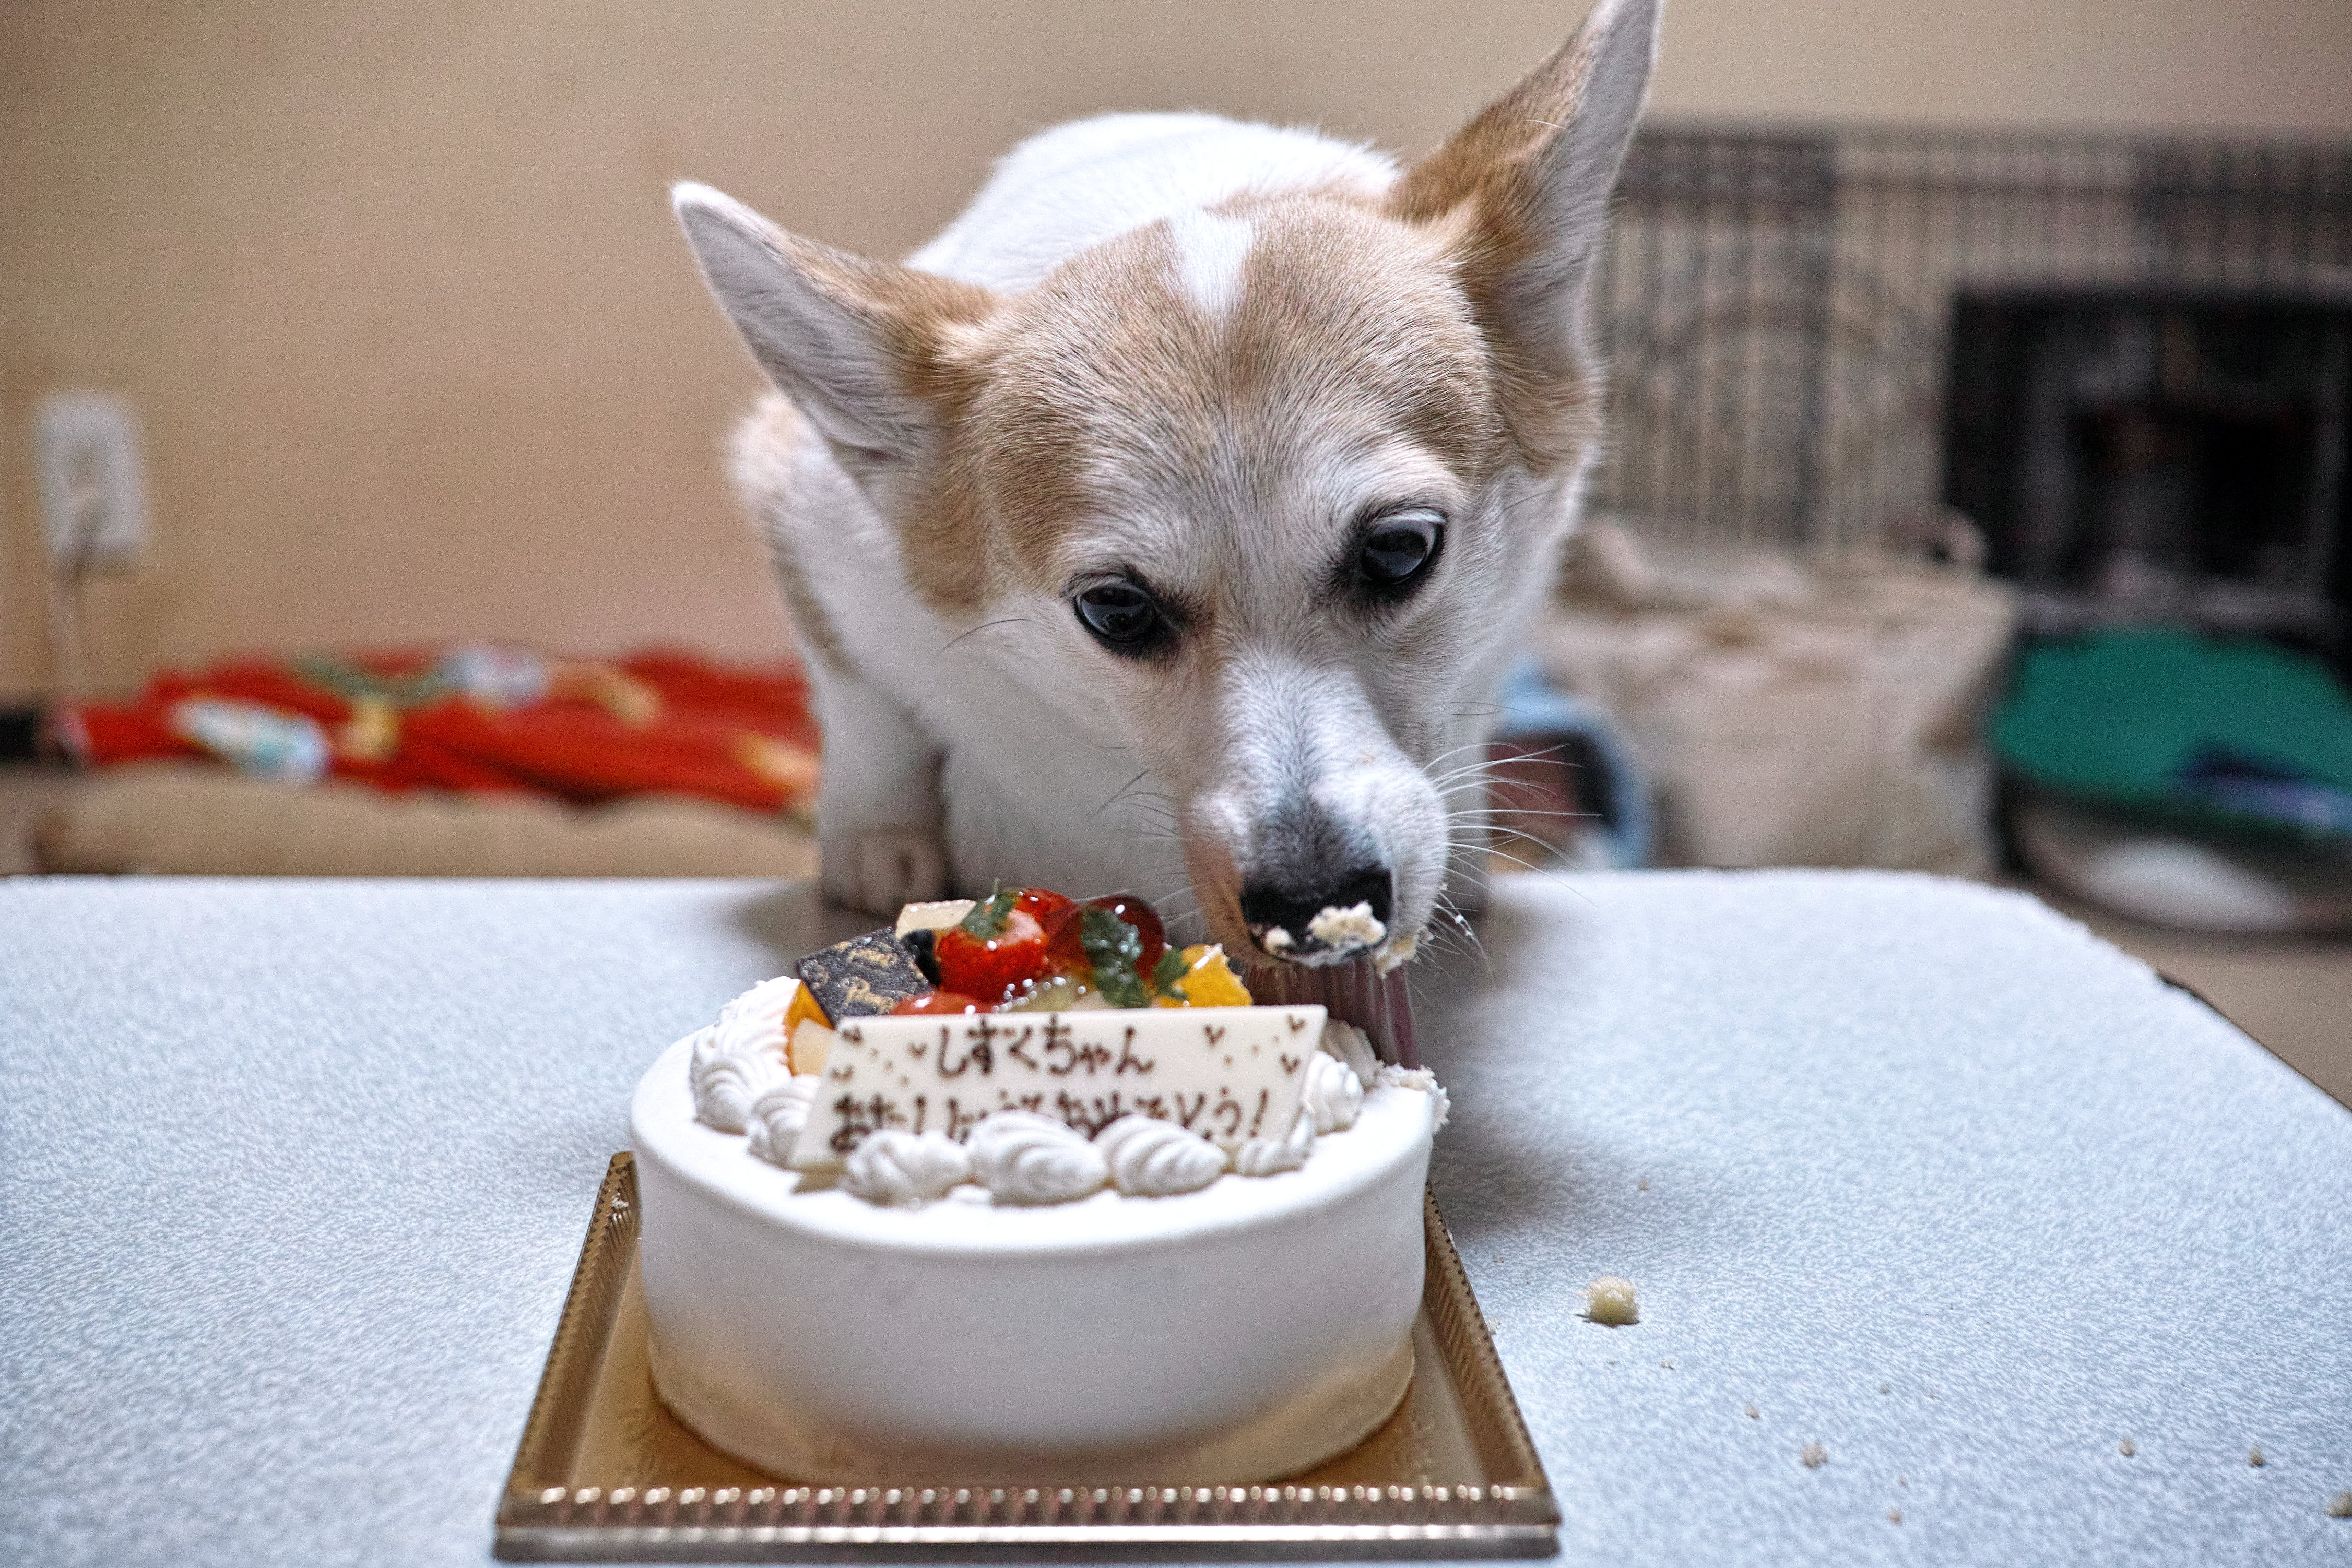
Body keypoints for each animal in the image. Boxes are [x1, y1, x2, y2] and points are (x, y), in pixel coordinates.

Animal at [673, 0, 1658, 975]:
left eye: (1398, 551)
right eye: (1115, 610)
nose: (1313, 903)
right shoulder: (801, 510)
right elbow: (865, 706)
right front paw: (876, 842)